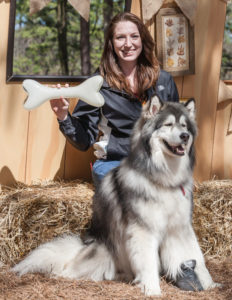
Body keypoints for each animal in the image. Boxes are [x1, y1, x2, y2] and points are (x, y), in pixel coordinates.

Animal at [11, 96, 218, 296]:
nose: (185, 136)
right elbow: (148, 261)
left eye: (184, 126)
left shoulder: (179, 226)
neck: (164, 179)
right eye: (168, 124)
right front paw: (152, 288)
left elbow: (196, 256)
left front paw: (209, 284)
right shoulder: (143, 229)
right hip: (104, 253)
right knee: (71, 268)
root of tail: (85, 244)